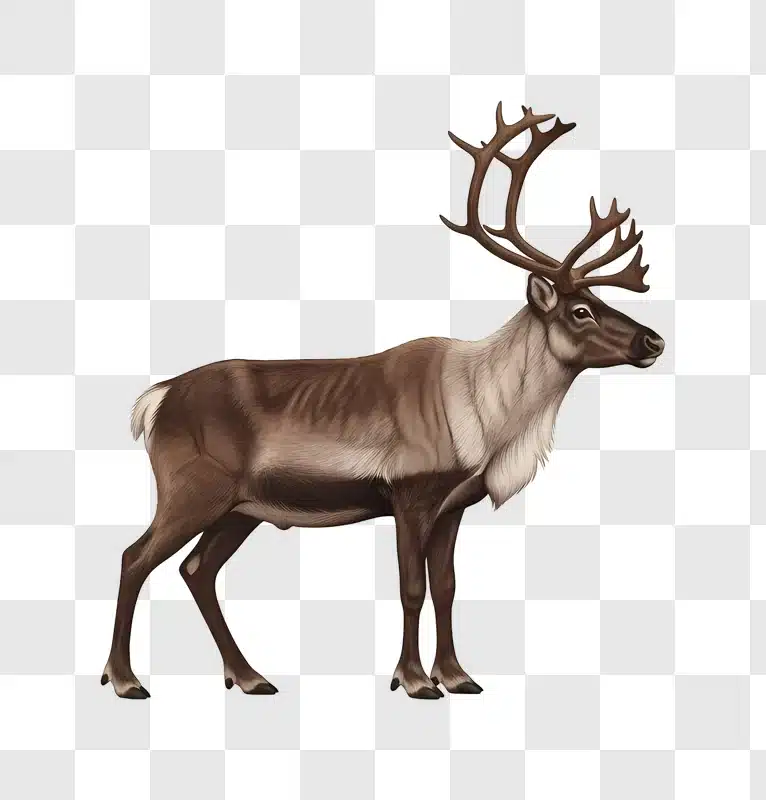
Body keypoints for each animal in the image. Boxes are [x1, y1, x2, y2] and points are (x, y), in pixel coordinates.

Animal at [101, 105, 664, 701]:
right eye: (580, 310)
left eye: (601, 299)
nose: (654, 341)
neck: (486, 417)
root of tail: (154, 401)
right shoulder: (409, 492)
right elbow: (411, 587)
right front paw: (414, 680)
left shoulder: (453, 504)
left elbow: (447, 586)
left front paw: (458, 675)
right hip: (192, 490)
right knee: (135, 558)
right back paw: (125, 679)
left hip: (241, 508)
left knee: (196, 570)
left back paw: (250, 676)